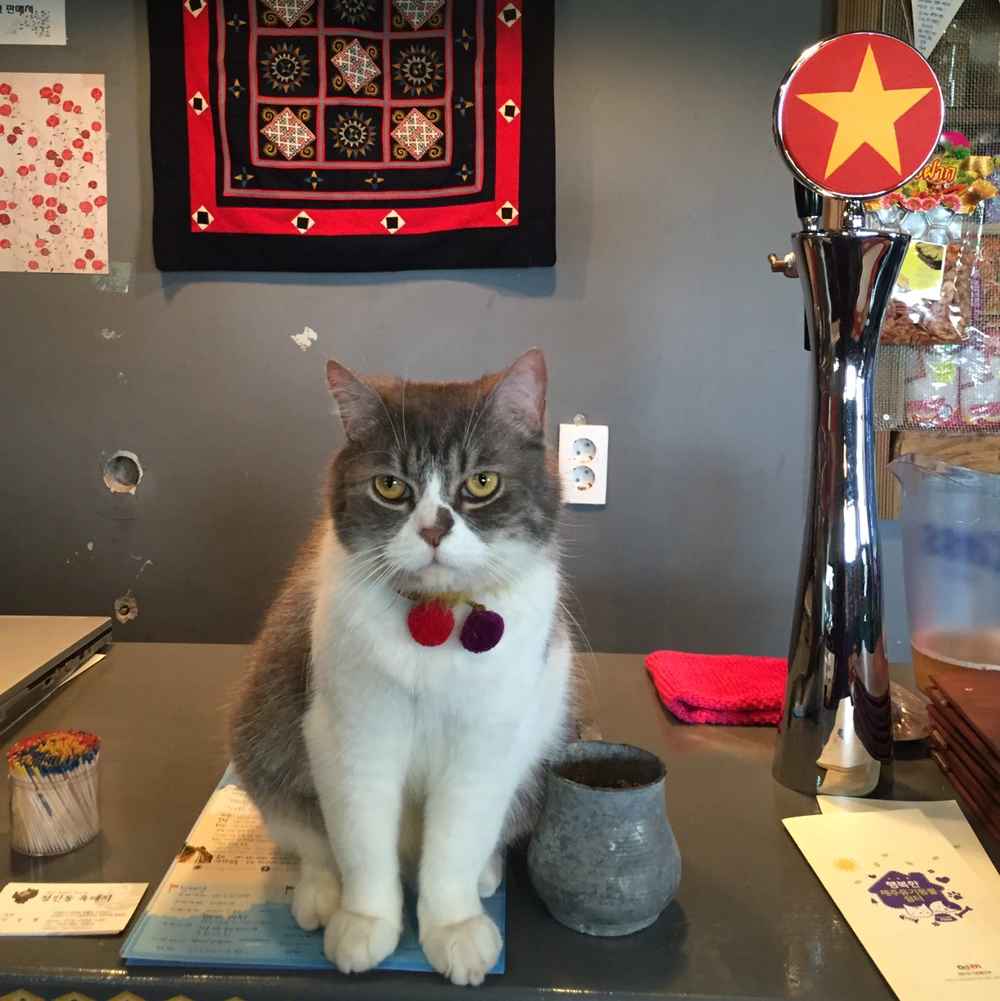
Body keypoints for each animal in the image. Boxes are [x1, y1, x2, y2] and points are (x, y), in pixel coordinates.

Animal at [228, 348, 573, 986]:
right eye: (391, 486)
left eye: (481, 482)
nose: (434, 529)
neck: (433, 622)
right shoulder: (352, 732)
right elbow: (361, 840)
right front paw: (365, 924)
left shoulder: (487, 742)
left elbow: (458, 841)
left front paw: (454, 927)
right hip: (262, 739)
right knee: (311, 840)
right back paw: (321, 895)